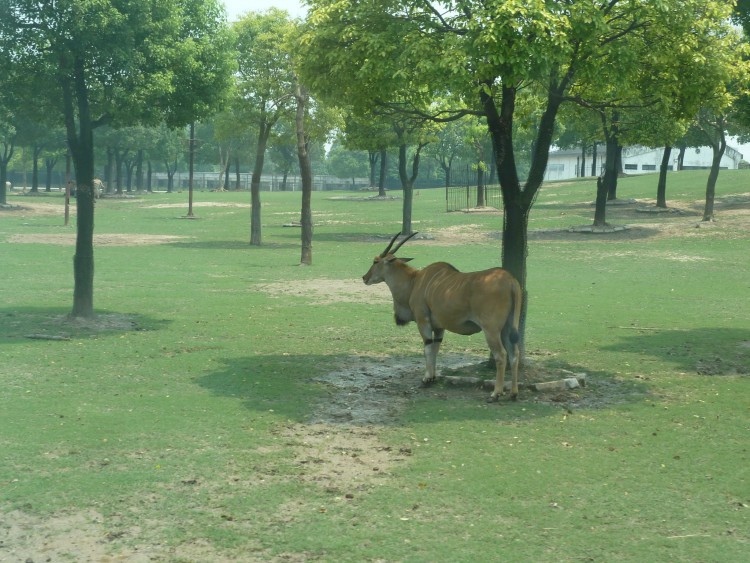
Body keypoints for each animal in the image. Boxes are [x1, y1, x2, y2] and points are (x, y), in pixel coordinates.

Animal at [364, 232, 524, 400]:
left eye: (375, 261)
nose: (364, 277)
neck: (415, 281)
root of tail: (510, 280)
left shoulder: (423, 321)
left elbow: (428, 348)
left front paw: (426, 379)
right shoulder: (439, 327)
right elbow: (435, 348)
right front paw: (433, 378)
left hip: (491, 330)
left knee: (501, 355)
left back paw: (495, 393)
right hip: (506, 329)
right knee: (514, 354)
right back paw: (513, 393)